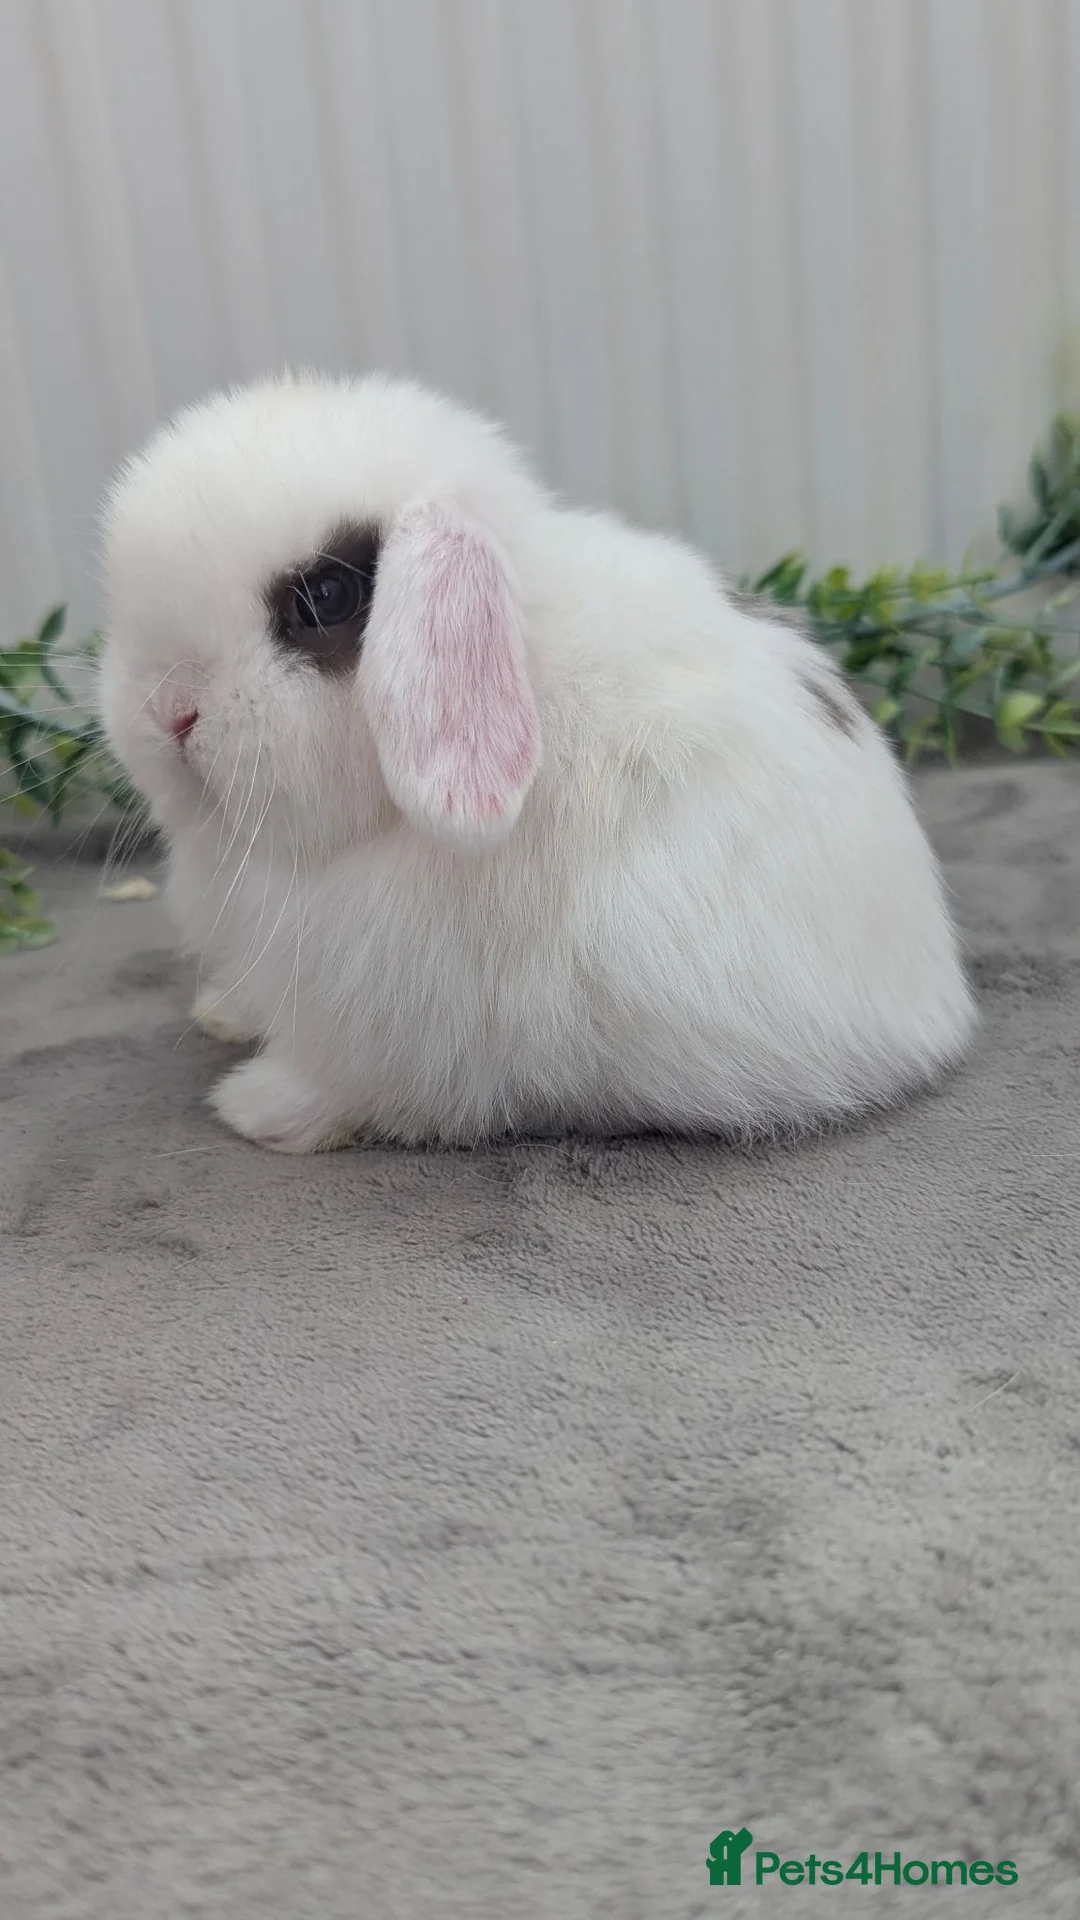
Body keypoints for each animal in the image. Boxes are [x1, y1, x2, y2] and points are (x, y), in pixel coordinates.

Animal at [98, 371, 975, 1152]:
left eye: (324, 598)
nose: (169, 713)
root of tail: (934, 1013)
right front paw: (224, 1015)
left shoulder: (388, 1023)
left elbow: (347, 1084)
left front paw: (257, 1109)